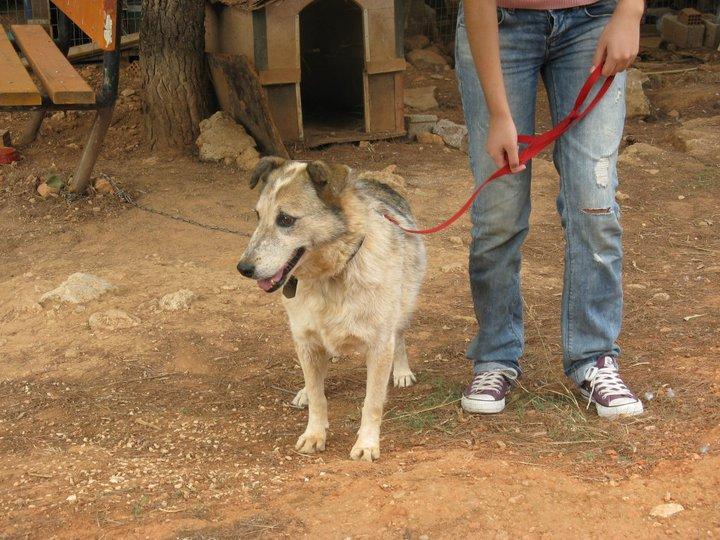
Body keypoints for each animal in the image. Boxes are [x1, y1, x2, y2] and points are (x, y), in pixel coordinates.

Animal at [239, 156, 424, 460]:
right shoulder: (306, 341)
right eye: (257, 216)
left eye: (285, 220)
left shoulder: (379, 344)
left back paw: (401, 371)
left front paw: (367, 443)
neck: (331, 276)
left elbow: (372, 403)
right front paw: (314, 434)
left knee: (400, 337)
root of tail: (375, 180)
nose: (243, 268)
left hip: (404, 305)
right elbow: (318, 396)